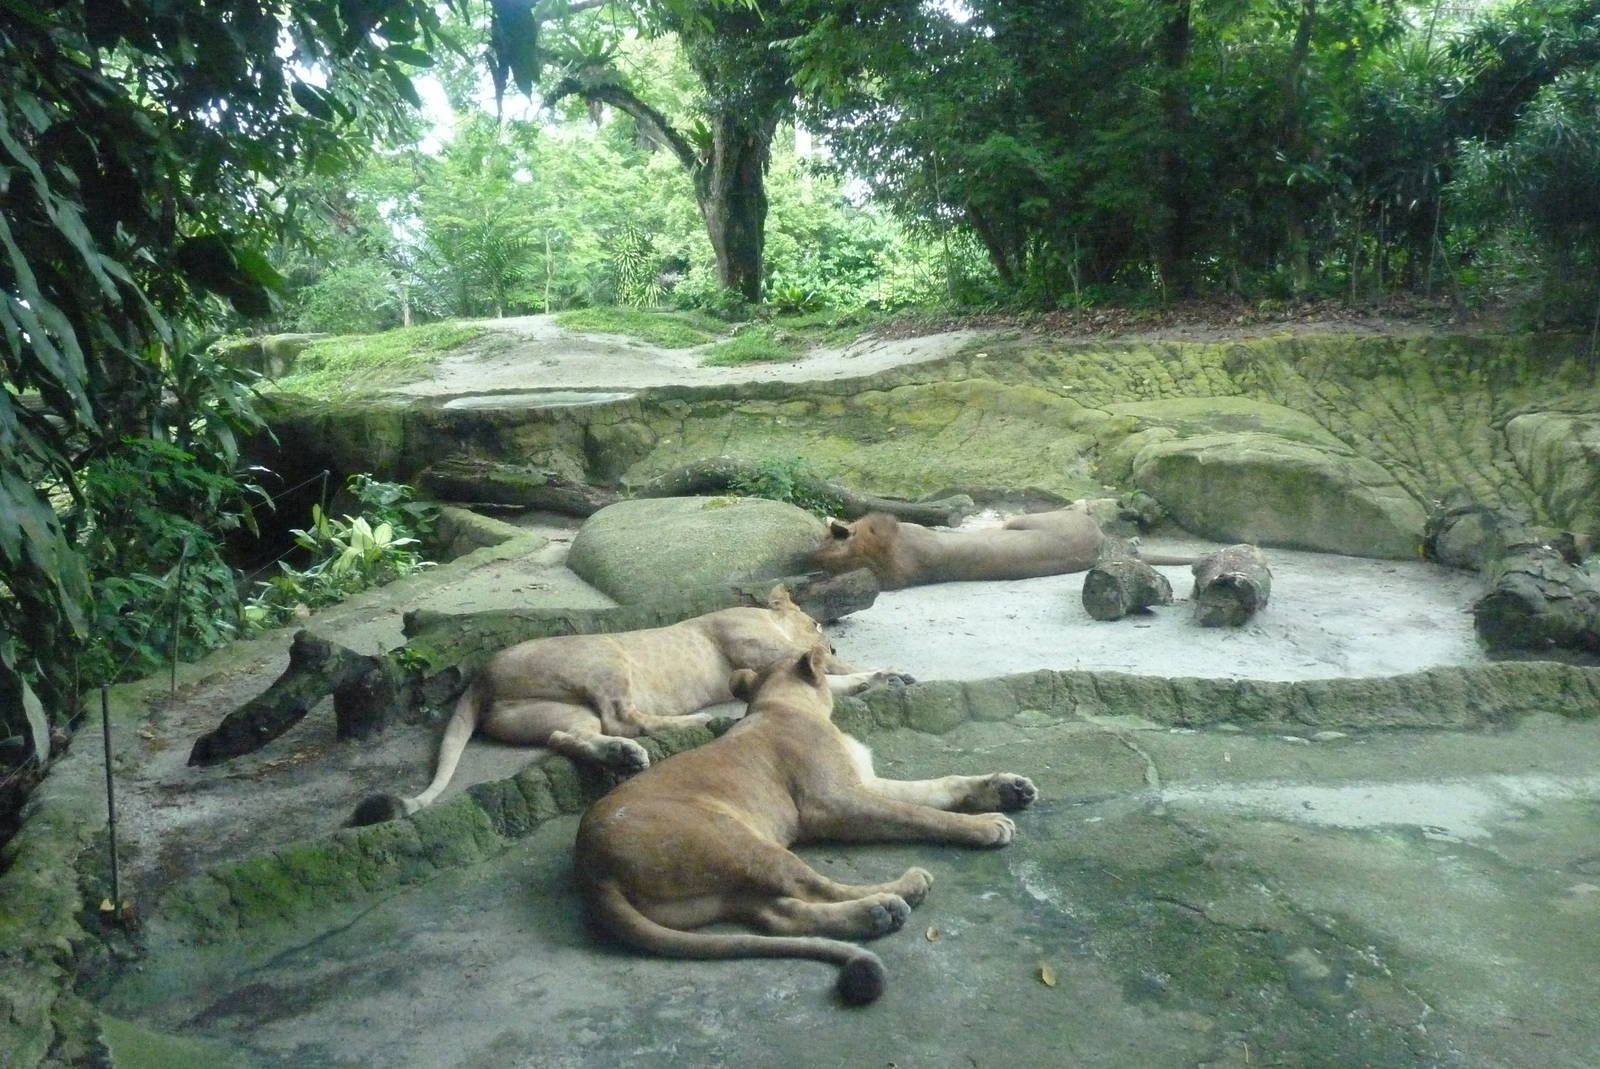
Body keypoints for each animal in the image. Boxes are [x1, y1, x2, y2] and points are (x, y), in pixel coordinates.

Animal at [350, 587, 902, 826]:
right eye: (816, 621)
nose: (827, 638)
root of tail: (481, 677)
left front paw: (882, 673)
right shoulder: (754, 649)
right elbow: (823, 674)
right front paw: (874, 673)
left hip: (550, 711)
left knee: (572, 735)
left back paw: (623, 756)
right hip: (604, 658)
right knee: (624, 716)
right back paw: (698, 720)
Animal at [576, 642, 1037, 1005]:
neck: (779, 702)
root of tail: (592, 869)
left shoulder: (865, 782)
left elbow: (940, 787)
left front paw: (1007, 788)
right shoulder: (835, 803)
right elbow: (921, 815)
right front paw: (987, 825)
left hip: (722, 889)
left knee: (780, 915)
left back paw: (873, 917)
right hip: (737, 839)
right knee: (812, 886)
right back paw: (895, 896)